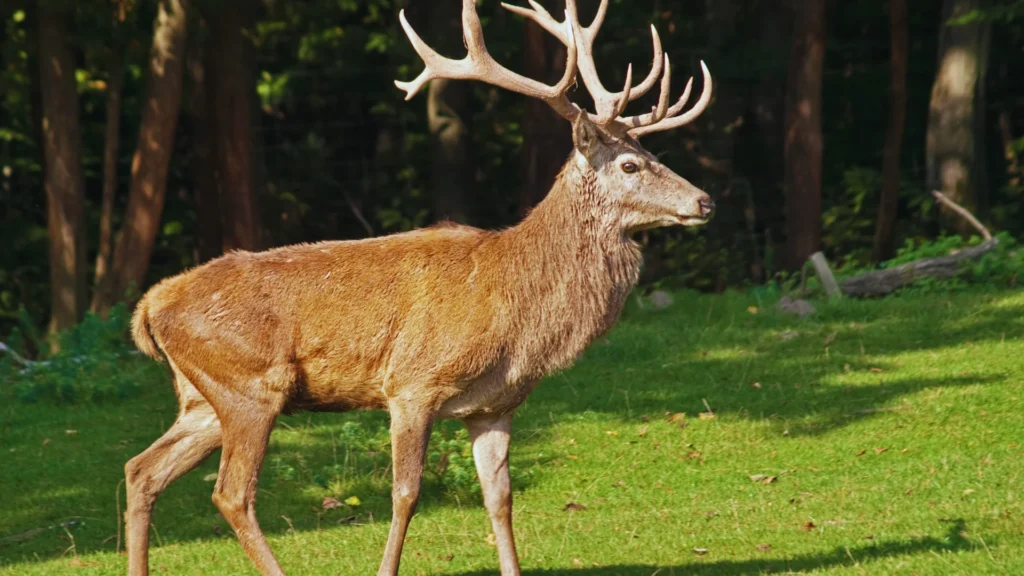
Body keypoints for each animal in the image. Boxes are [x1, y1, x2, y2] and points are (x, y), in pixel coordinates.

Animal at [123, 1, 713, 574]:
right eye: (631, 164)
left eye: (656, 157)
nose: (704, 200)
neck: (517, 307)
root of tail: (149, 306)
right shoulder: (411, 383)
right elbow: (405, 494)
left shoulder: (494, 406)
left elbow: (500, 497)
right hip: (250, 386)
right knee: (231, 493)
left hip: (201, 398)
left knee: (140, 469)